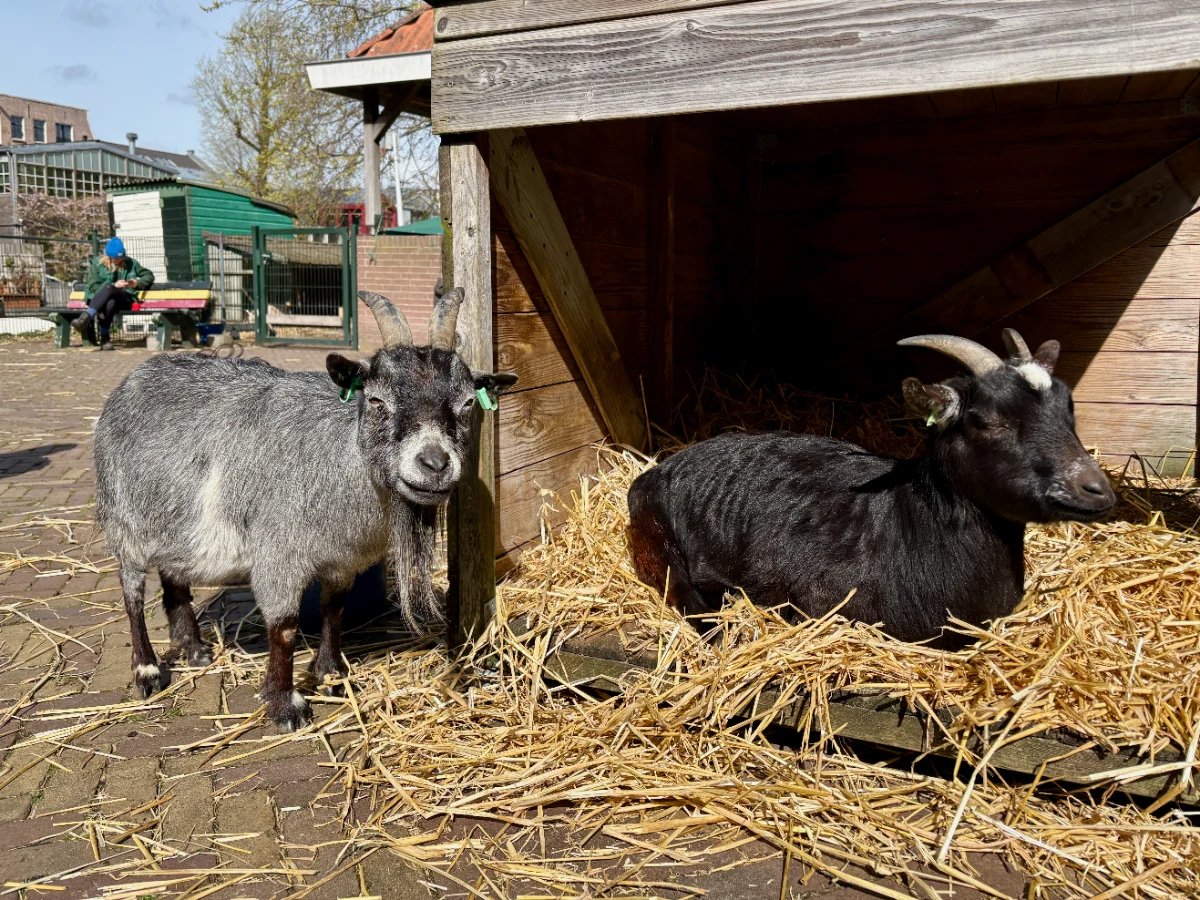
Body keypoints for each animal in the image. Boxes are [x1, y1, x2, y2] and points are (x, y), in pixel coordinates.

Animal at [93, 288, 516, 729]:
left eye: (467, 403)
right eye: (377, 400)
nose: (434, 463)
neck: (342, 459)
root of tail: (134, 378)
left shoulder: (343, 560)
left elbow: (334, 611)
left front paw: (331, 674)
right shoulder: (278, 555)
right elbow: (284, 627)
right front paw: (285, 705)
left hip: (172, 524)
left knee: (174, 578)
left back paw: (194, 648)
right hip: (123, 521)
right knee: (132, 593)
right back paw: (147, 670)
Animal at [626, 331, 1115, 647]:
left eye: (1069, 408)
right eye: (989, 420)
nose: (1097, 490)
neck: (913, 522)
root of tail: (657, 470)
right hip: (658, 544)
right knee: (683, 593)